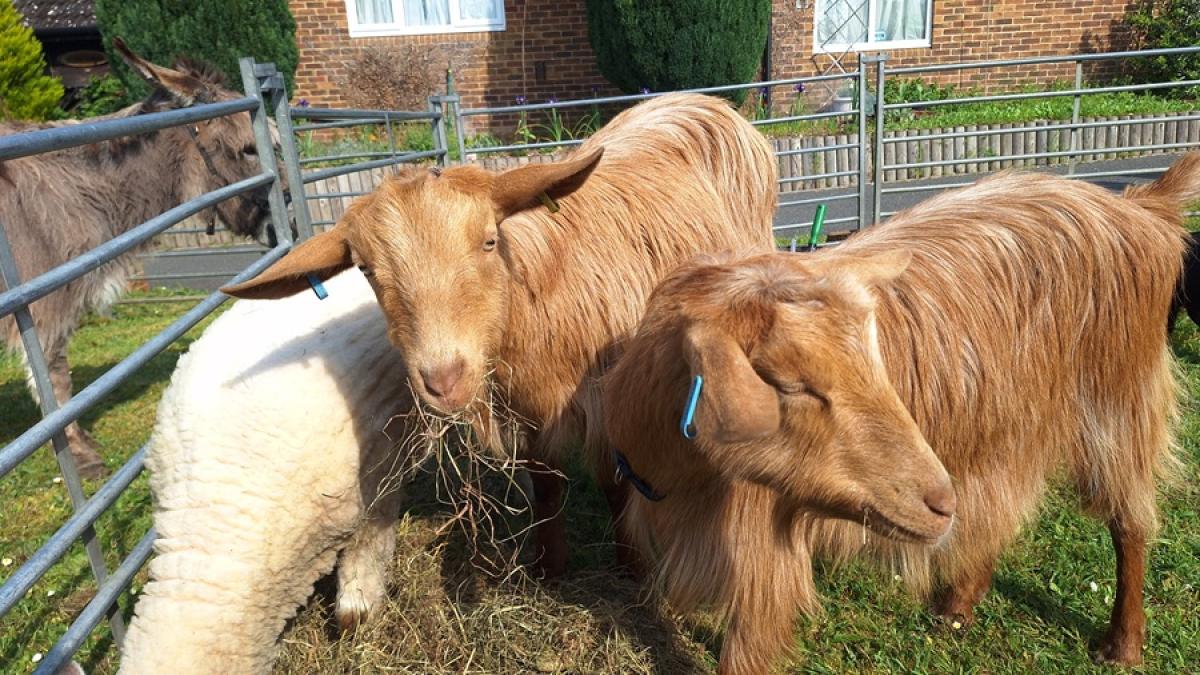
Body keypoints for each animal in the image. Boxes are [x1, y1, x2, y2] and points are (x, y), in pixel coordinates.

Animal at [222, 92, 778, 575]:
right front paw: (550, 566)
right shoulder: (529, 409)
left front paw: (632, 567)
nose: (443, 379)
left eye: (489, 241)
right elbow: (546, 485)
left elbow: (615, 483)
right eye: (365, 269)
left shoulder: (607, 395)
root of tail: (700, 101)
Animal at [605, 156, 1196, 672]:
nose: (939, 503)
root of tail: (1141, 207)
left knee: (1129, 521)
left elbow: (744, 654)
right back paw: (958, 606)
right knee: (1003, 508)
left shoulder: (762, 559)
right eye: (789, 383)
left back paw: (1122, 644)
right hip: (1012, 421)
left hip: (1119, 401)